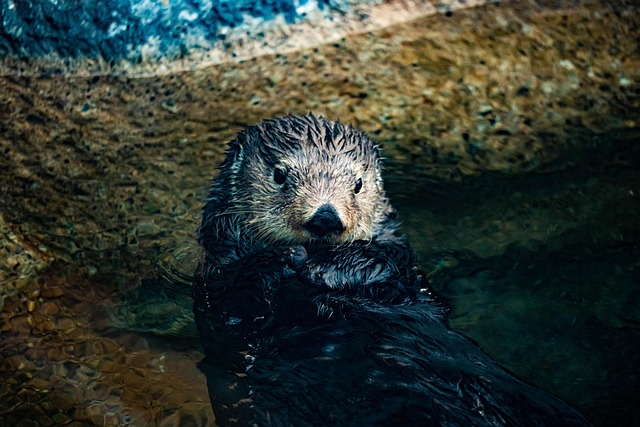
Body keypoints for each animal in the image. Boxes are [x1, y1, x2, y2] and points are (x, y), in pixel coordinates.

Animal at [193, 114, 591, 426]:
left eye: (357, 183)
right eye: (278, 175)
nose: (325, 217)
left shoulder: (408, 277)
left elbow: (385, 264)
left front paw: (325, 267)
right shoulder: (215, 290)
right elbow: (236, 302)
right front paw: (285, 256)